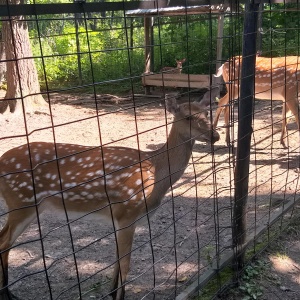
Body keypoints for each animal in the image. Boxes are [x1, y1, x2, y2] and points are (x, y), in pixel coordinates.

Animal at [0, 96, 219, 300]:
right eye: (188, 116)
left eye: (207, 113)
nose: (215, 135)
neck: (155, 171)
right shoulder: (127, 213)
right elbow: (125, 264)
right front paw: (118, 296)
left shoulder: (118, 219)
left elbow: (116, 259)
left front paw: (112, 293)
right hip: (22, 201)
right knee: (4, 243)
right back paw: (8, 293)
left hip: (24, 205)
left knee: (3, 238)